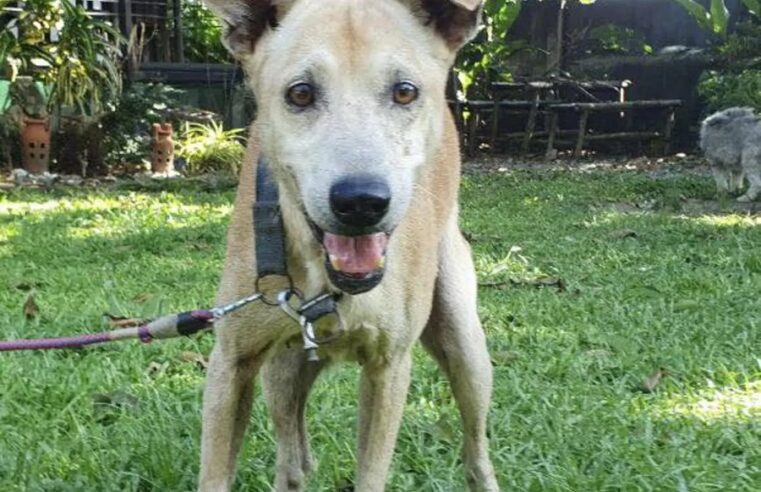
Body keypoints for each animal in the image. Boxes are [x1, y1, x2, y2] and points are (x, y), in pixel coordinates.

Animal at [196, 0, 498, 492]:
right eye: (300, 93)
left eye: (404, 92)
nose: (361, 202)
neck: (325, 279)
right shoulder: (232, 364)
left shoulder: (388, 366)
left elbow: (371, 473)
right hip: (283, 370)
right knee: (292, 457)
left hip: (464, 344)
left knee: (475, 449)